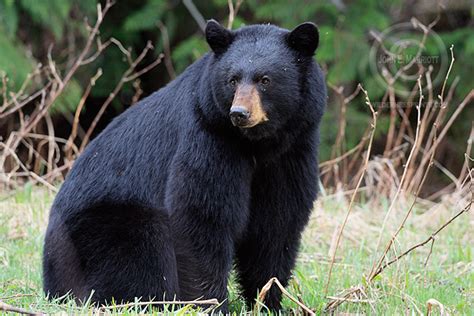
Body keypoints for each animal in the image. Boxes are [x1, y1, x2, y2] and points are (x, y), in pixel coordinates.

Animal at [42, 18, 326, 312]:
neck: (257, 144)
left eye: (265, 80)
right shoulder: (208, 137)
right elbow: (201, 213)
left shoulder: (292, 152)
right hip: (97, 231)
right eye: (232, 80)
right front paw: (212, 304)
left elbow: (277, 222)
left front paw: (268, 302)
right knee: (141, 249)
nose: (239, 113)